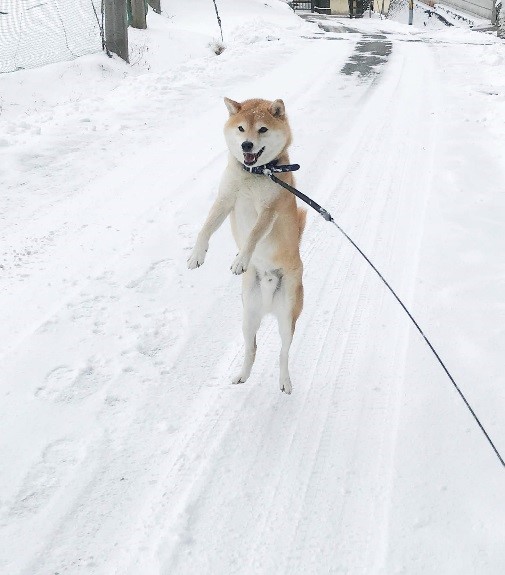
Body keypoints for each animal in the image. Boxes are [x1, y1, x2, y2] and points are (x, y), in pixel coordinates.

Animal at [185, 98, 304, 396]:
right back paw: (242, 375)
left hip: (288, 314)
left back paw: (285, 381)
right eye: (240, 128)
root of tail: (269, 302)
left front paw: (241, 259)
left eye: (262, 129)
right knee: (252, 347)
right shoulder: (226, 199)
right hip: (248, 315)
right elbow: (206, 227)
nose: (246, 146)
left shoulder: (268, 211)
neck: (256, 173)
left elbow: (252, 236)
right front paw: (196, 255)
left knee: (283, 352)